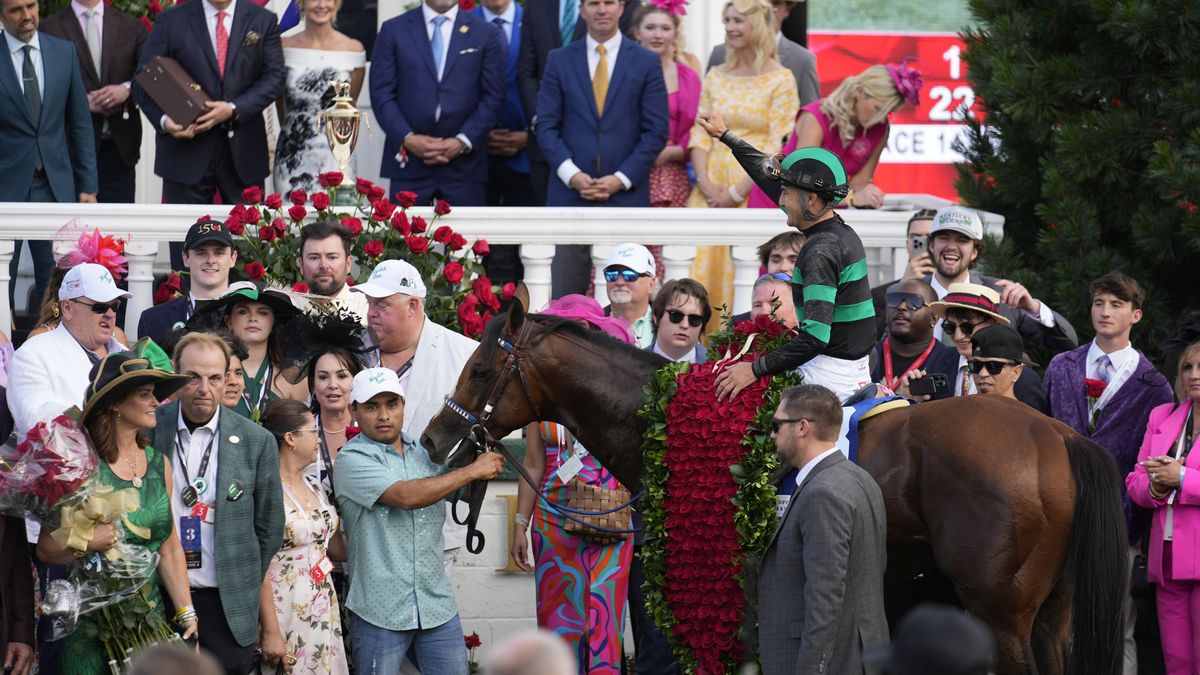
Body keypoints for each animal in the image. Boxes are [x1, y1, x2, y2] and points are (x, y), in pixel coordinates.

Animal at [420, 295, 1123, 672]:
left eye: (479, 370)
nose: (431, 438)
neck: (663, 418)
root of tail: (1058, 437)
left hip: (998, 608)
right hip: (1048, 611)